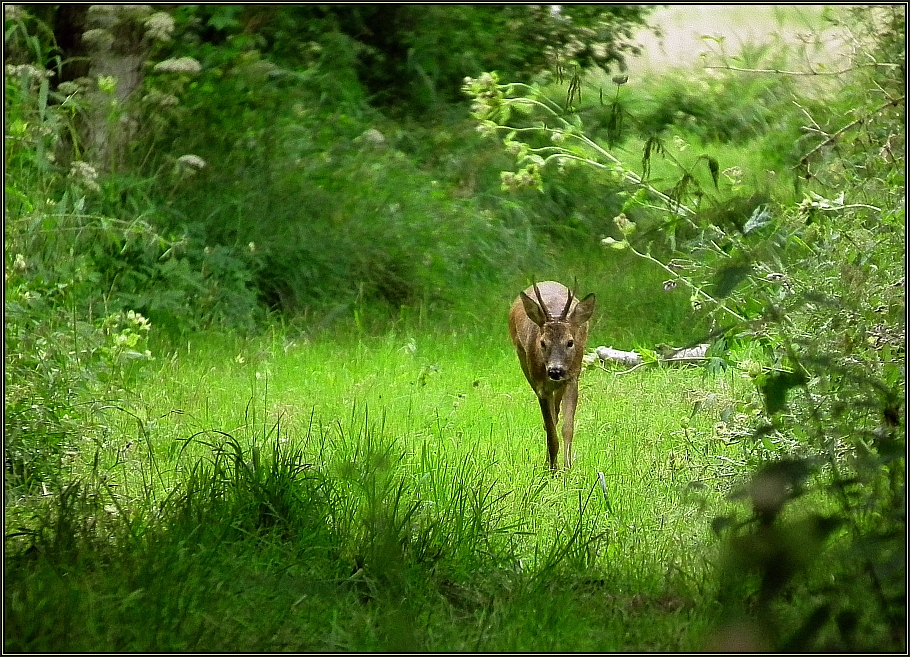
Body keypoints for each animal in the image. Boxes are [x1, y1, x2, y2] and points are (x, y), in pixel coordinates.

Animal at [506, 280, 600, 468]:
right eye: (542, 342)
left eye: (570, 342)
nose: (555, 370)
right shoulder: (541, 386)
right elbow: (551, 432)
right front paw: (552, 468)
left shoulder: (572, 378)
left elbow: (567, 429)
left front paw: (567, 467)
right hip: (523, 360)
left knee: (556, 412)